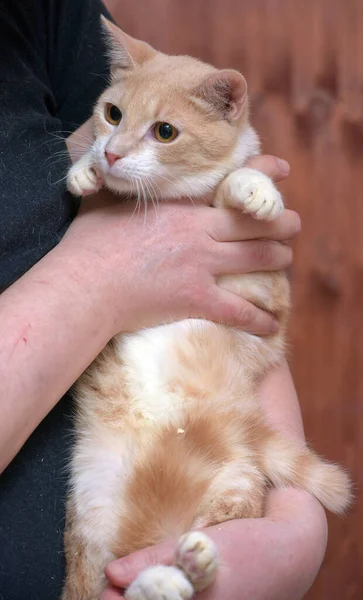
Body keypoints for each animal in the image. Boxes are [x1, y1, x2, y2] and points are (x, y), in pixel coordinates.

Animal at [62, 18, 352, 600]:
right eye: (113, 114)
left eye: (165, 132)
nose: (113, 154)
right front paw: (85, 170)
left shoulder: (262, 300)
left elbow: (230, 187)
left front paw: (253, 188)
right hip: (87, 526)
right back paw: (163, 578)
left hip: (234, 483)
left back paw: (184, 568)